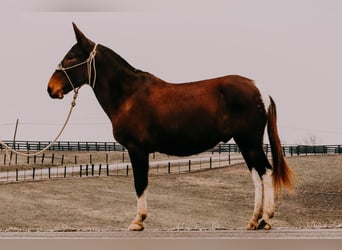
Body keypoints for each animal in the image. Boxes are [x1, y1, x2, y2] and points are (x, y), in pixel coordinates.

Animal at [47, 23, 294, 230]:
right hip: (245, 143)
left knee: (266, 172)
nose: (50, 88)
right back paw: (254, 219)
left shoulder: (137, 149)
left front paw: (138, 220)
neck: (128, 94)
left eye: (71, 57)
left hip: (249, 141)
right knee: (257, 176)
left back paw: (266, 219)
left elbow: (140, 183)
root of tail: (260, 90)